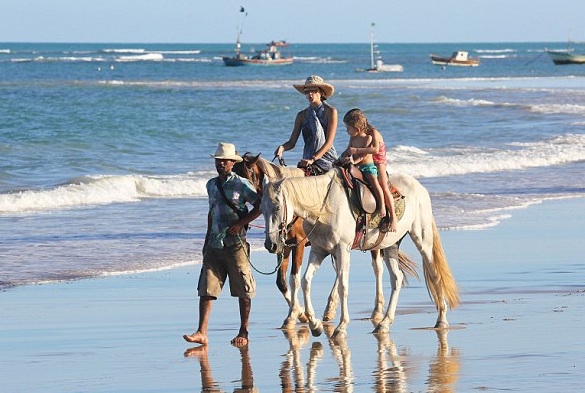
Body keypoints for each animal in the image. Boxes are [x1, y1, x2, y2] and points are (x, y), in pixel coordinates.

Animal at [262, 167, 458, 336]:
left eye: (278, 207)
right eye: (262, 209)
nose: (271, 244)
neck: (324, 207)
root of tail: (419, 187)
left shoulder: (342, 249)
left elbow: (343, 286)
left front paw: (341, 327)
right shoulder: (319, 250)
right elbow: (305, 281)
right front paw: (315, 325)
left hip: (422, 239)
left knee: (434, 274)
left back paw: (441, 319)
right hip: (391, 245)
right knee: (397, 278)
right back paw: (384, 323)